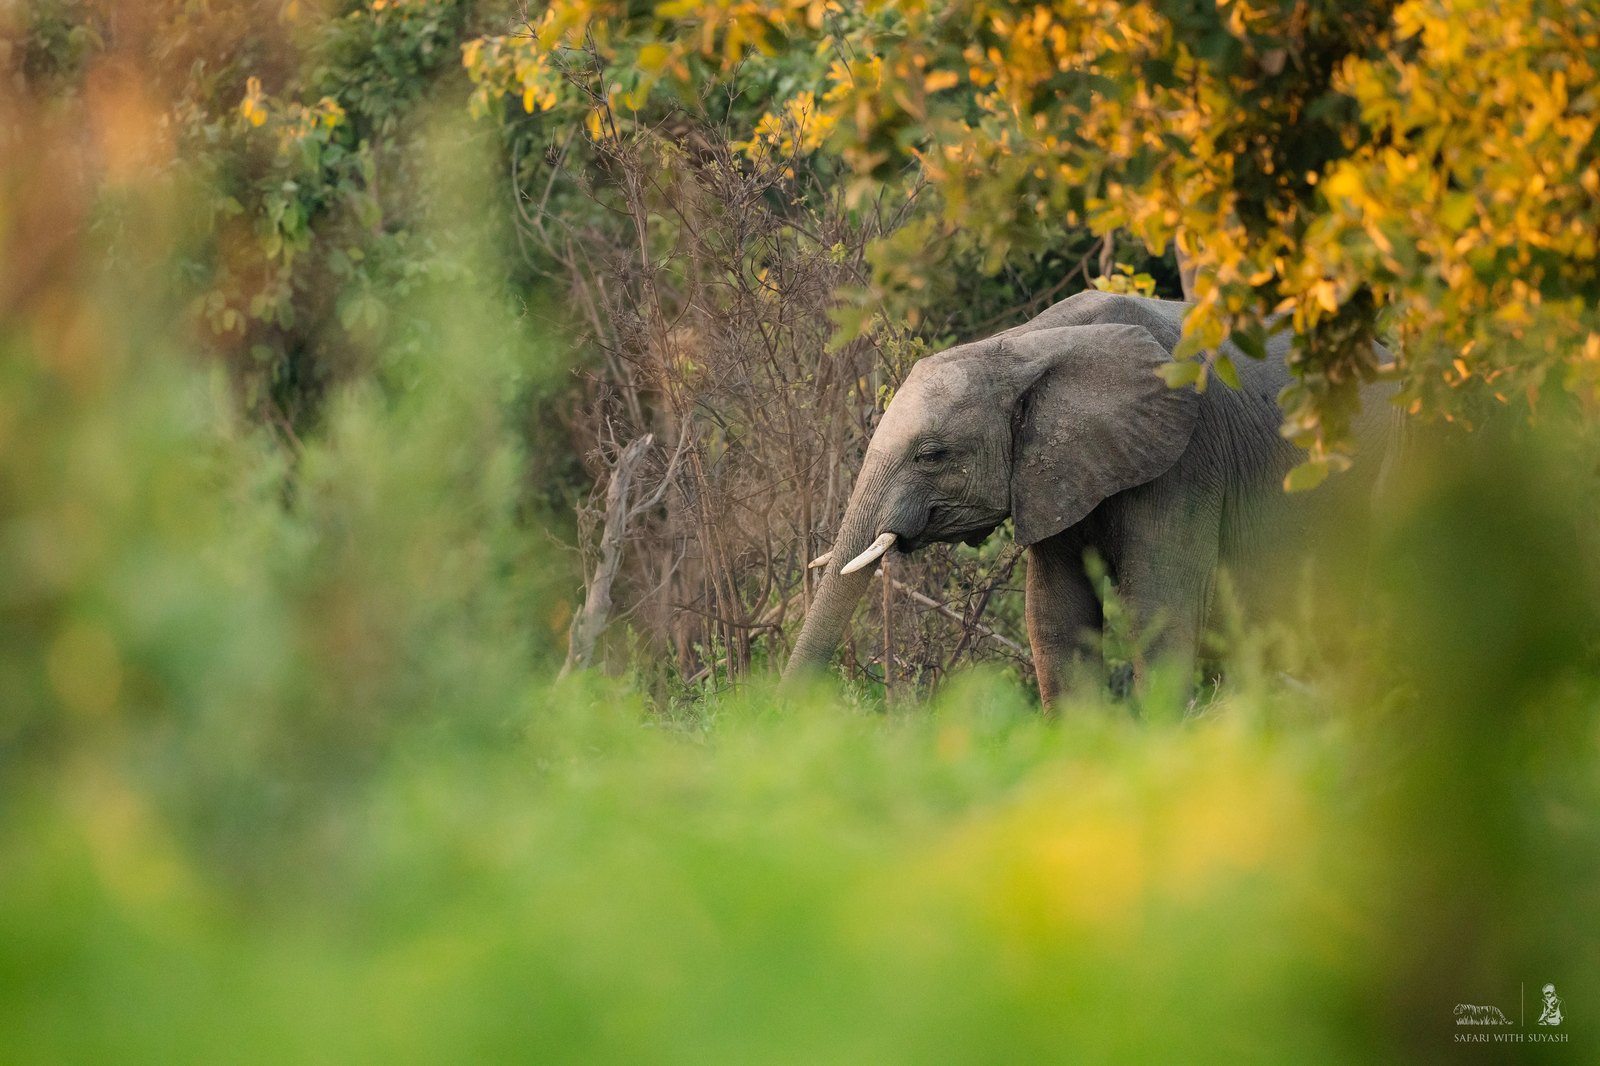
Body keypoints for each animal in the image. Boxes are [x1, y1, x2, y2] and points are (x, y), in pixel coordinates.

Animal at [783, 290, 1395, 706]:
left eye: (930, 455)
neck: (1025, 344)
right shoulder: (1056, 472)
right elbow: (1056, 614)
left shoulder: (1188, 458)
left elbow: (1159, 604)